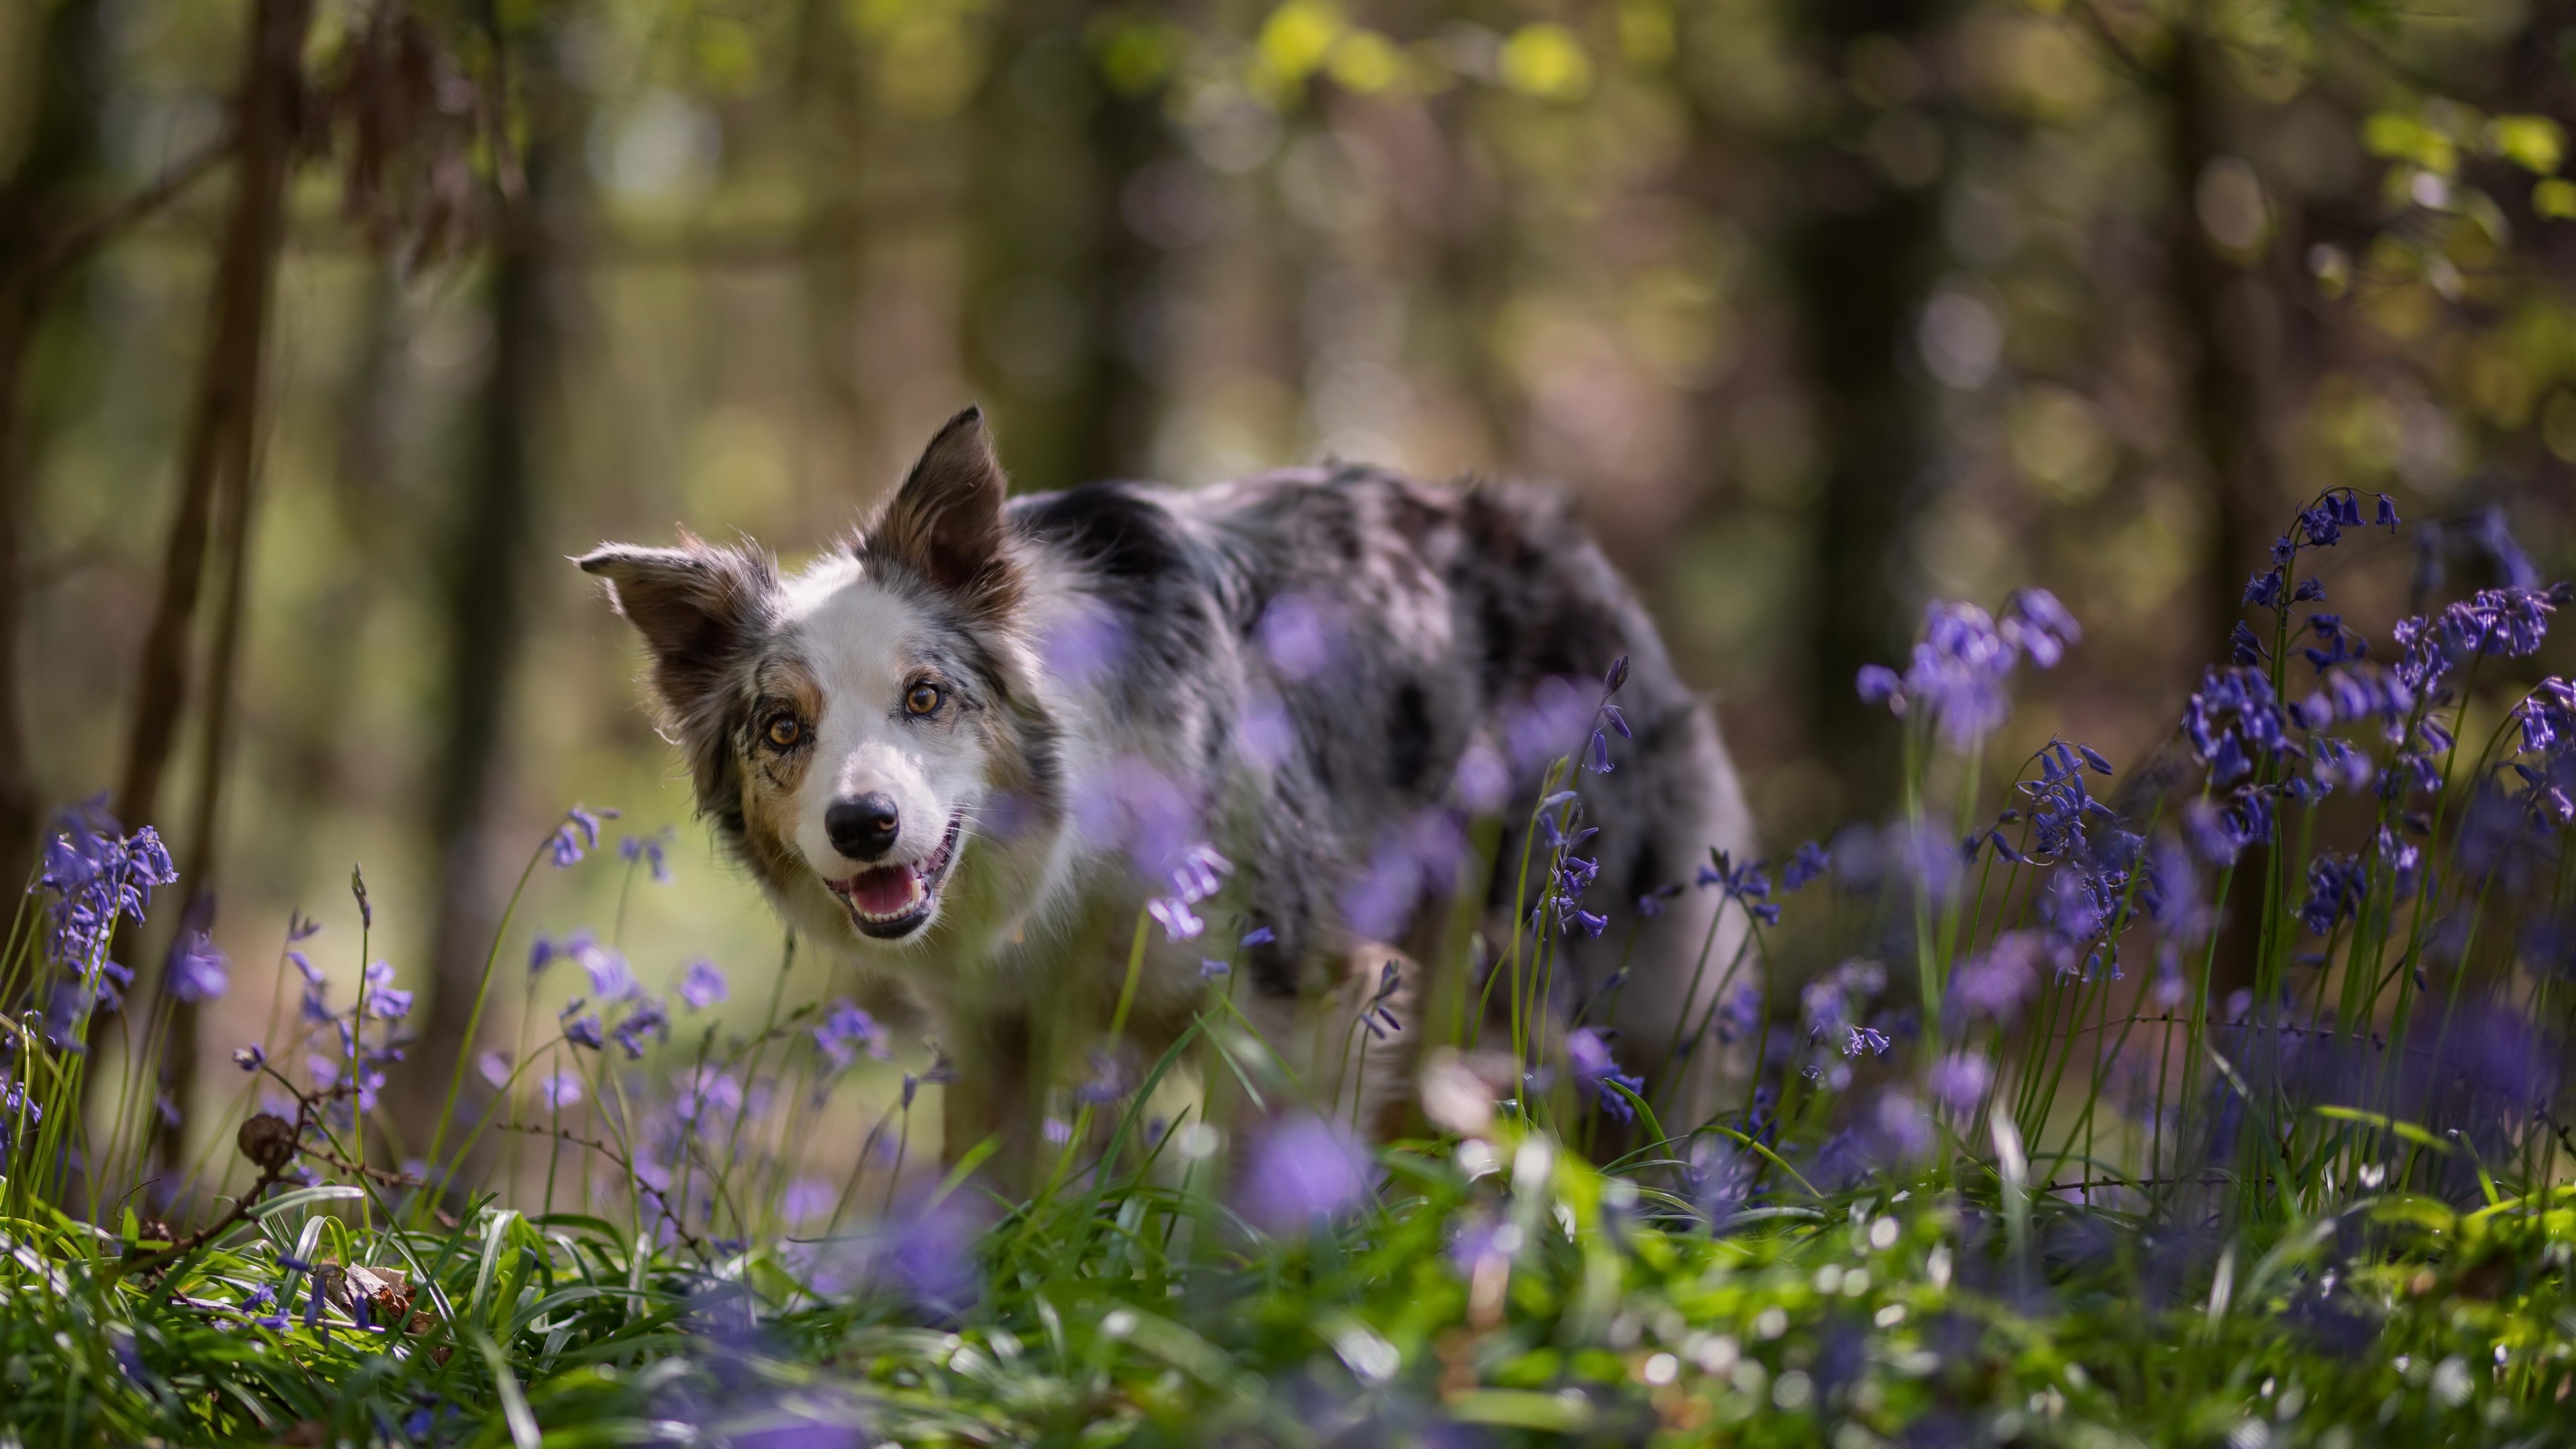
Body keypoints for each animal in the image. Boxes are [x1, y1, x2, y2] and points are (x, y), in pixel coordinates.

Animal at [582, 402, 1752, 1175]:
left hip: (1582, 991)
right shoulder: (995, 1036)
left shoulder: (1301, 998)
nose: (864, 826)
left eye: (925, 696)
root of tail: (1559, 543)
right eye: (785, 728)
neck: (1073, 852)